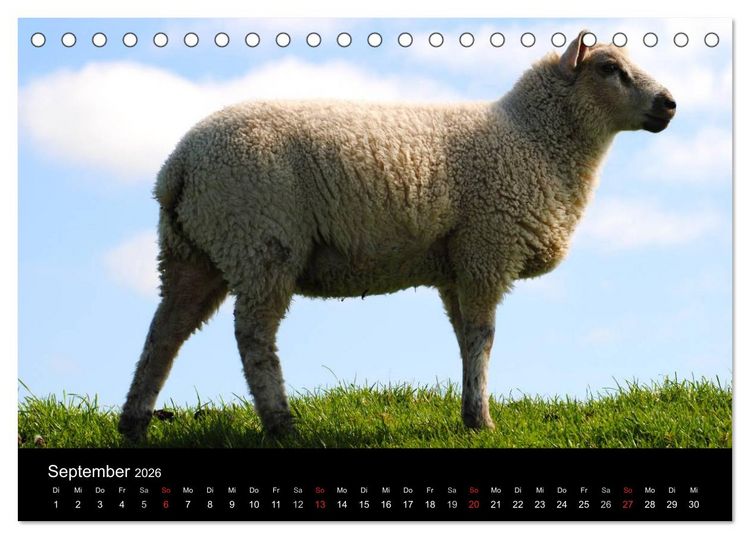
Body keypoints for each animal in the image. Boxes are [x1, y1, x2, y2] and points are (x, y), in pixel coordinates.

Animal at [118, 30, 676, 441]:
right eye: (609, 68)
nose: (669, 103)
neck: (534, 140)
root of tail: (178, 166)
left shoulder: (457, 264)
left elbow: (465, 339)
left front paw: (469, 415)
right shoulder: (486, 248)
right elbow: (483, 337)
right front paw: (483, 421)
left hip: (194, 252)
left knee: (164, 333)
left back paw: (134, 424)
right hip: (261, 241)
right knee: (252, 336)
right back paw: (281, 425)